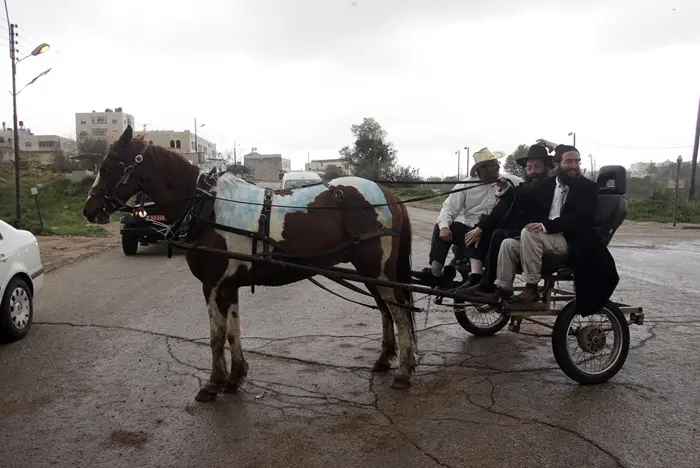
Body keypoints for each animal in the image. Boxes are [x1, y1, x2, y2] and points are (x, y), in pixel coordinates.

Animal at [82, 125, 422, 402]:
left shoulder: (212, 284)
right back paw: (384, 361)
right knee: (386, 311)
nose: (89, 209)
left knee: (400, 314)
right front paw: (235, 377)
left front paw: (213, 384)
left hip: (378, 271)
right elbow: (233, 331)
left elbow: (216, 335)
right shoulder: (229, 285)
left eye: (109, 166)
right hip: (372, 273)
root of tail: (387, 193)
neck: (207, 206)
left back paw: (404, 372)